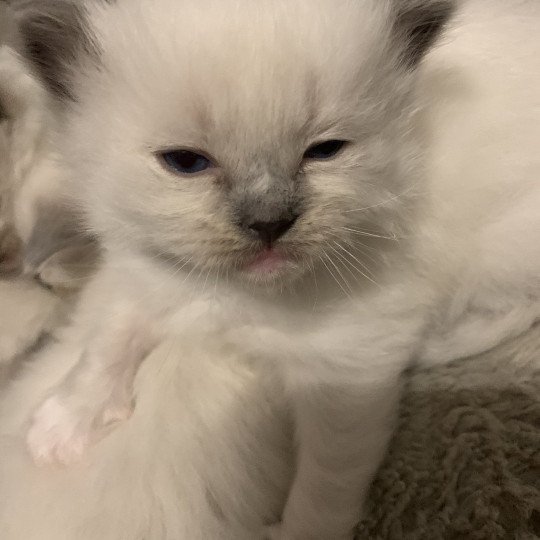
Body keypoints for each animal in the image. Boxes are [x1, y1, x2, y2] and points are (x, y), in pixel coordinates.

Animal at [12, 0, 540, 536]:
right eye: (185, 163)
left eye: (325, 151)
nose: (270, 223)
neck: (236, 293)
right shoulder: (152, 273)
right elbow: (110, 336)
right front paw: (62, 424)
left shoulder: (348, 372)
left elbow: (322, 488)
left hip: (497, 254)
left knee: (515, 310)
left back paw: (433, 347)